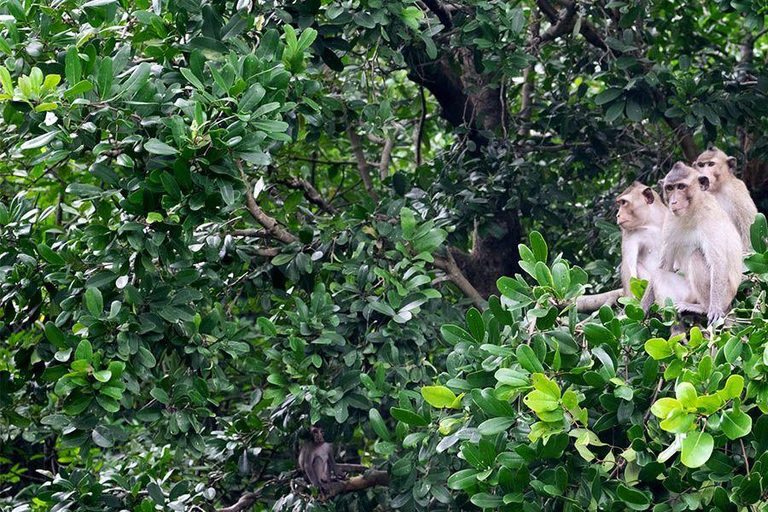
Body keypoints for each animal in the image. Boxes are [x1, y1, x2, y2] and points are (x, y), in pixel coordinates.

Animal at [640, 162, 744, 326]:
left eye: (681, 187)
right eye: (670, 188)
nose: (674, 201)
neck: (691, 212)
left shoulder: (709, 218)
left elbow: (718, 262)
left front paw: (714, 309)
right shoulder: (670, 219)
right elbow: (664, 266)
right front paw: (640, 310)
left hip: (726, 294)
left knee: (696, 256)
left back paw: (703, 308)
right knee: (659, 274)